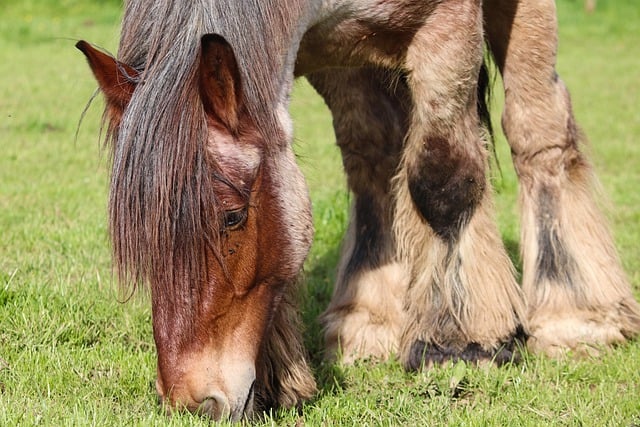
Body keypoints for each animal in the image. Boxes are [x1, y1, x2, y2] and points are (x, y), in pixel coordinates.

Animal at [76, 0, 640, 422]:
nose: (195, 401)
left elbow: (443, 178)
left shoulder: (449, 26)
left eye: (232, 217)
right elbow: (368, 160)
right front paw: (341, 336)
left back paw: (577, 316)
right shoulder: (329, 52)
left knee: (538, 129)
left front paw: (458, 341)